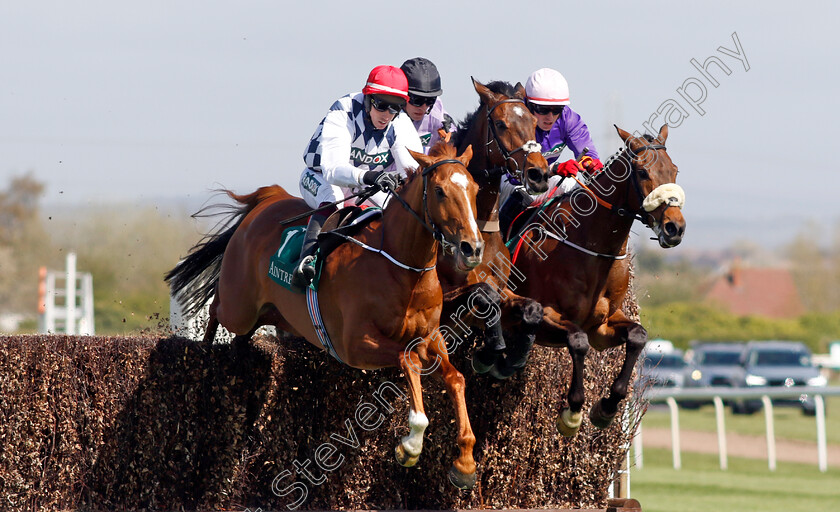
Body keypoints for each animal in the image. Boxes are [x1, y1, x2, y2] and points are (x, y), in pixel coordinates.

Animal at [166, 143, 480, 488]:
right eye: (439, 191)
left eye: (475, 189)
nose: (473, 248)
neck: (401, 267)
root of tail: (268, 200)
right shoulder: (354, 344)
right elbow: (407, 359)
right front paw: (411, 445)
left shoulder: (430, 338)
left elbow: (456, 378)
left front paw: (465, 462)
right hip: (240, 307)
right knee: (216, 309)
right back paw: (204, 352)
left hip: (275, 315)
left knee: (243, 334)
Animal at [436, 78, 548, 378]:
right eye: (500, 124)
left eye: (534, 121)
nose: (539, 174)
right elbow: (484, 296)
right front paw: (488, 354)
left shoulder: (503, 288)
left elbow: (532, 308)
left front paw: (512, 359)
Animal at [502, 124, 684, 436]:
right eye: (643, 172)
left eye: (674, 170)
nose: (675, 227)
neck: (590, 244)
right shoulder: (548, 315)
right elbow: (577, 341)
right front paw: (572, 414)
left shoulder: (603, 325)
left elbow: (638, 336)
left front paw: (607, 408)